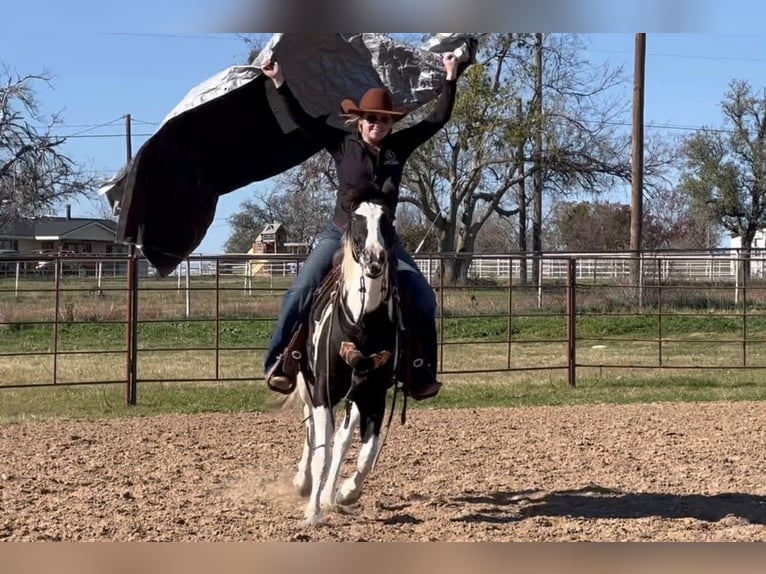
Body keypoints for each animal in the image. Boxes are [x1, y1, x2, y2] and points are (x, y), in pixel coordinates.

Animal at [289, 200, 403, 524]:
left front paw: (345, 493)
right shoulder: (323, 394)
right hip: (307, 386)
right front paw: (312, 512)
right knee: (312, 434)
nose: (375, 258)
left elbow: (366, 455)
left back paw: (330, 494)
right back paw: (304, 483)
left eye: (387, 220)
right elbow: (321, 453)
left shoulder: (373, 397)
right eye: (356, 220)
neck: (362, 325)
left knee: (342, 439)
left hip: (355, 397)